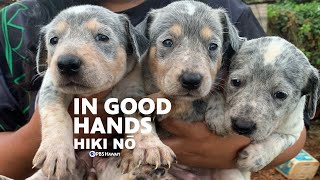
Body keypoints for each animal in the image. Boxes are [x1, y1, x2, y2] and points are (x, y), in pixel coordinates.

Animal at [31, 5, 145, 179]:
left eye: (102, 37)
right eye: (53, 40)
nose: (66, 63)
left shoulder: (132, 89)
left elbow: (139, 118)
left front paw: (151, 147)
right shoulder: (51, 86)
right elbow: (56, 114)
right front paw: (56, 151)